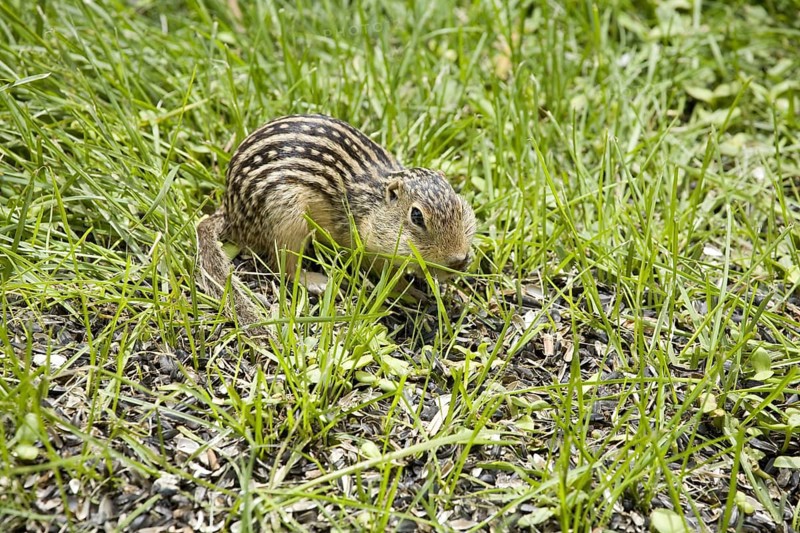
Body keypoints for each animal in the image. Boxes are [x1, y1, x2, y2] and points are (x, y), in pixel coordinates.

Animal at [196, 114, 476, 331]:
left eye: (458, 203)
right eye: (416, 216)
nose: (458, 259)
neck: (373, 203)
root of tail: (230, 213)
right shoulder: (367, 248)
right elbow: (385, 277)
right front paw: (412, 293)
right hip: (287, 221)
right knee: (283, 266)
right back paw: (316, 281)